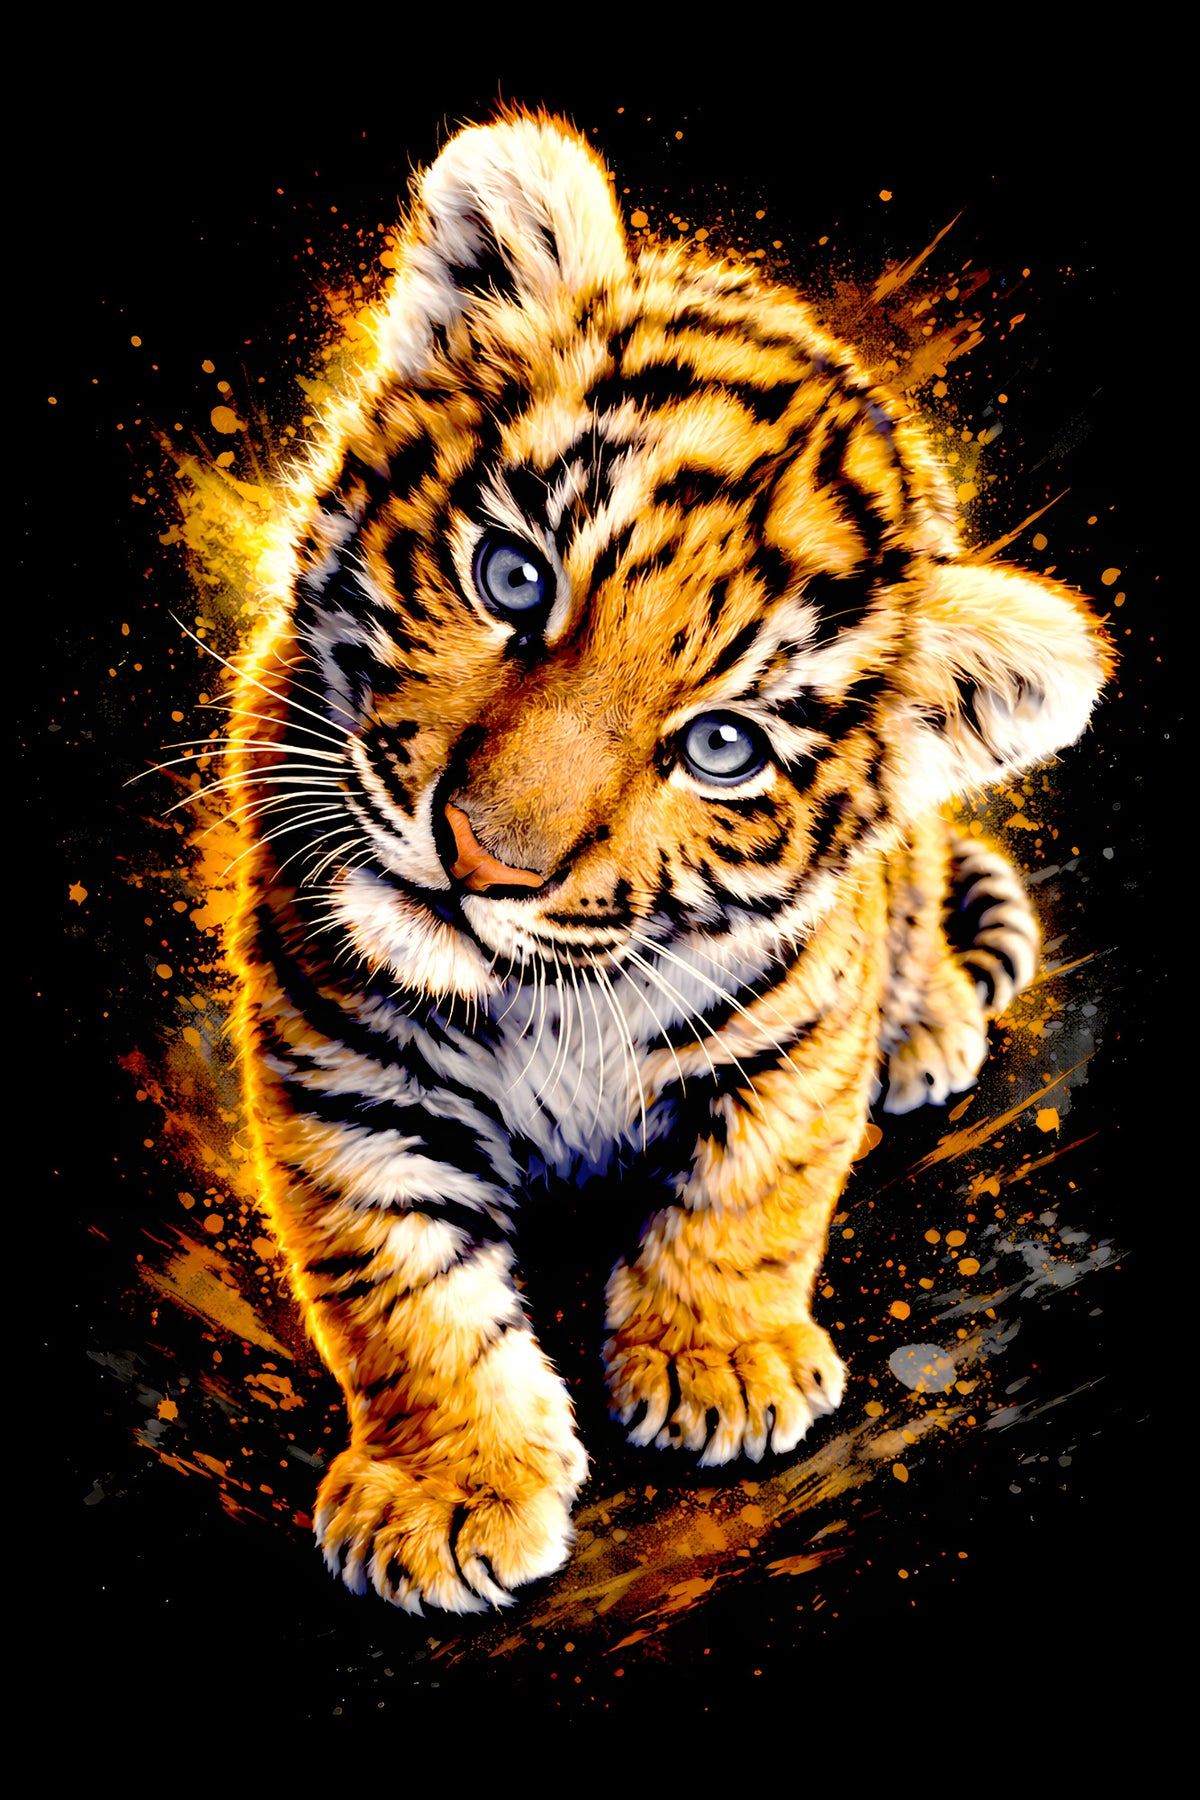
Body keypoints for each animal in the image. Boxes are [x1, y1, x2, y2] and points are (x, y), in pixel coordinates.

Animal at [221, 112, 1110, 1616]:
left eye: (721, 748)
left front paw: (722, 1366)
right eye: (514, 576)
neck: (535, 1009)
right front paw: (449, 1489)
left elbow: (751, 1193)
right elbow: (400, 1286)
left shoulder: (800, 1036)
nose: (481, 856)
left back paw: (930, 1029)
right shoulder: (339, 1066)